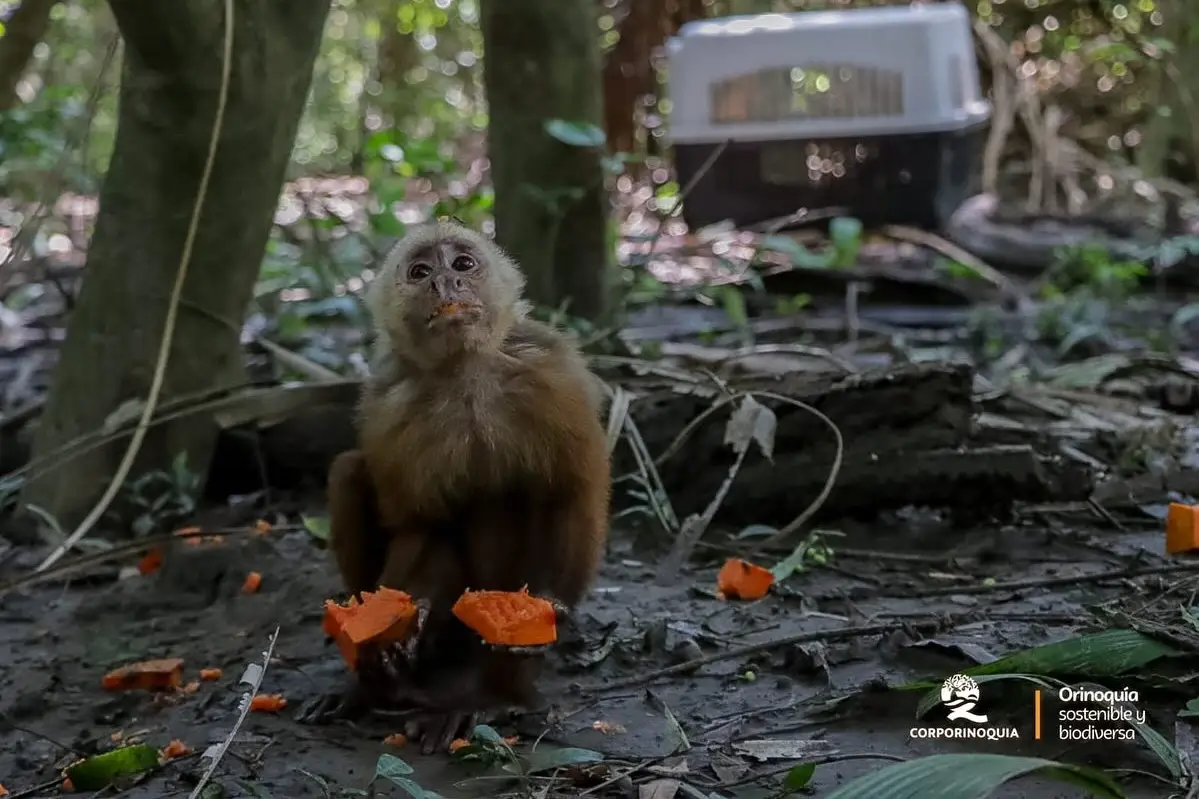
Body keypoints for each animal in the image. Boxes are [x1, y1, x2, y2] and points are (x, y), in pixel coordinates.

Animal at [298, 221, 611, 751]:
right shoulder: (389, 406)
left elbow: (568, 492)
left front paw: (542, 607)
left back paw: (493, 697)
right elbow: (422, 524)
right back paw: (375, 682)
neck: (465, 371)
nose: (446, 283)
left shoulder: (552, 375)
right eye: (421, 272)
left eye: (463, 264)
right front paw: (408, 619)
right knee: (351, 472)